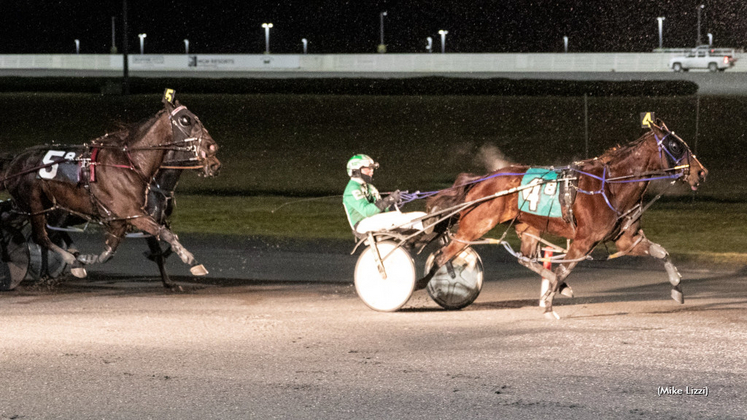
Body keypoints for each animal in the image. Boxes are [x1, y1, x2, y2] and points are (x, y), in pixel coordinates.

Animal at [0, 93, 221, 280]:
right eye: (185, 120)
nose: (213, 149)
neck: (131, 164)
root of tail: (16, 160)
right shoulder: (133, 213)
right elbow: (164, 234)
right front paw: (189, 259)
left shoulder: (123, 220)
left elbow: (110, 251)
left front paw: (87, 258)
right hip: (35, 204)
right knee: (41, 237)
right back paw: (67, 261)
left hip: (48, 207)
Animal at [426, 120, 708, 316]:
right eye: (675, 146)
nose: (701, 172)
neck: (611, 185)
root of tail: (481, 179)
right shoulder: (583, 241)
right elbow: (564, 268)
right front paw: (549, 304)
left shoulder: (628, 239)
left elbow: (662, 253)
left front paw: (677, 289)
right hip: (474, 226)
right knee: (442, 257)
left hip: (528, 227)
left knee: (526, 259)